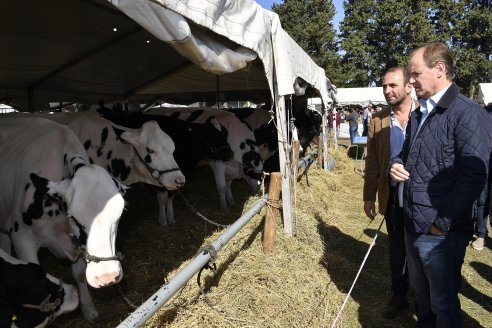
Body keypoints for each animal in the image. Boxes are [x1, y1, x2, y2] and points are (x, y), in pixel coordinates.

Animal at [0, 117, 126, 320]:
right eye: (73, 217)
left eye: (120, 213)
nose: (106, 277)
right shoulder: (22, 237)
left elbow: (80, 274)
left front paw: (88, 309)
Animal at [97, 109, 235, 223]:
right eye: (211, 136)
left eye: (226, 133)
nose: (230, 154)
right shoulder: (158, 175)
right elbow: (163, 198)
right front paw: (163, 220)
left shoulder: (176, 175)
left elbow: (171, 196)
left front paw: (170, 216)